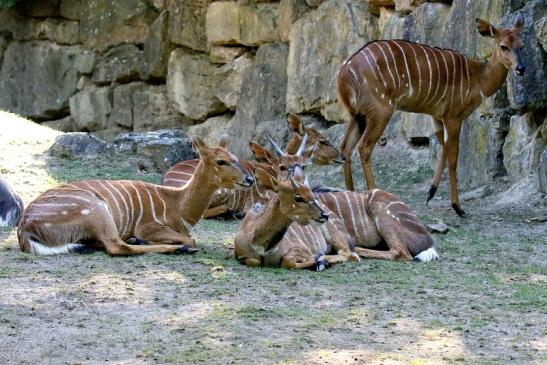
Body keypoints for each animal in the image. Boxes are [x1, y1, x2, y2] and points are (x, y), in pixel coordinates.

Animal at [17, 134, 255, 256]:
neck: (177, 205)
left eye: (235, 157)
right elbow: (191, 237)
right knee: (115, 246)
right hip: (97, 210)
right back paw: (177, 248)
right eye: (221, 161)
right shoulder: (148, 225)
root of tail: (24, 228)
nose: (250, 179)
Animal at [268, 137, 438, 262]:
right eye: (282, 166)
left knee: (400, 252)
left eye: (303, 166)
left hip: (382, 214)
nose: (296, 183)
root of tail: (427, 240)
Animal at [338, 12, 528, 216]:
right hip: (381, 111)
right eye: (503, 46)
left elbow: (442, 148)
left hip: (357, 115)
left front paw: (430, 194)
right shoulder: (453, 116)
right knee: (364, 147)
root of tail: (344, 72)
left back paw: (350, 195)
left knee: (345, 147)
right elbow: (453, 158)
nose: (521, 68)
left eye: (521, 45)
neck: (478, 79)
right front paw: (457, 207)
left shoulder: (436, 115)